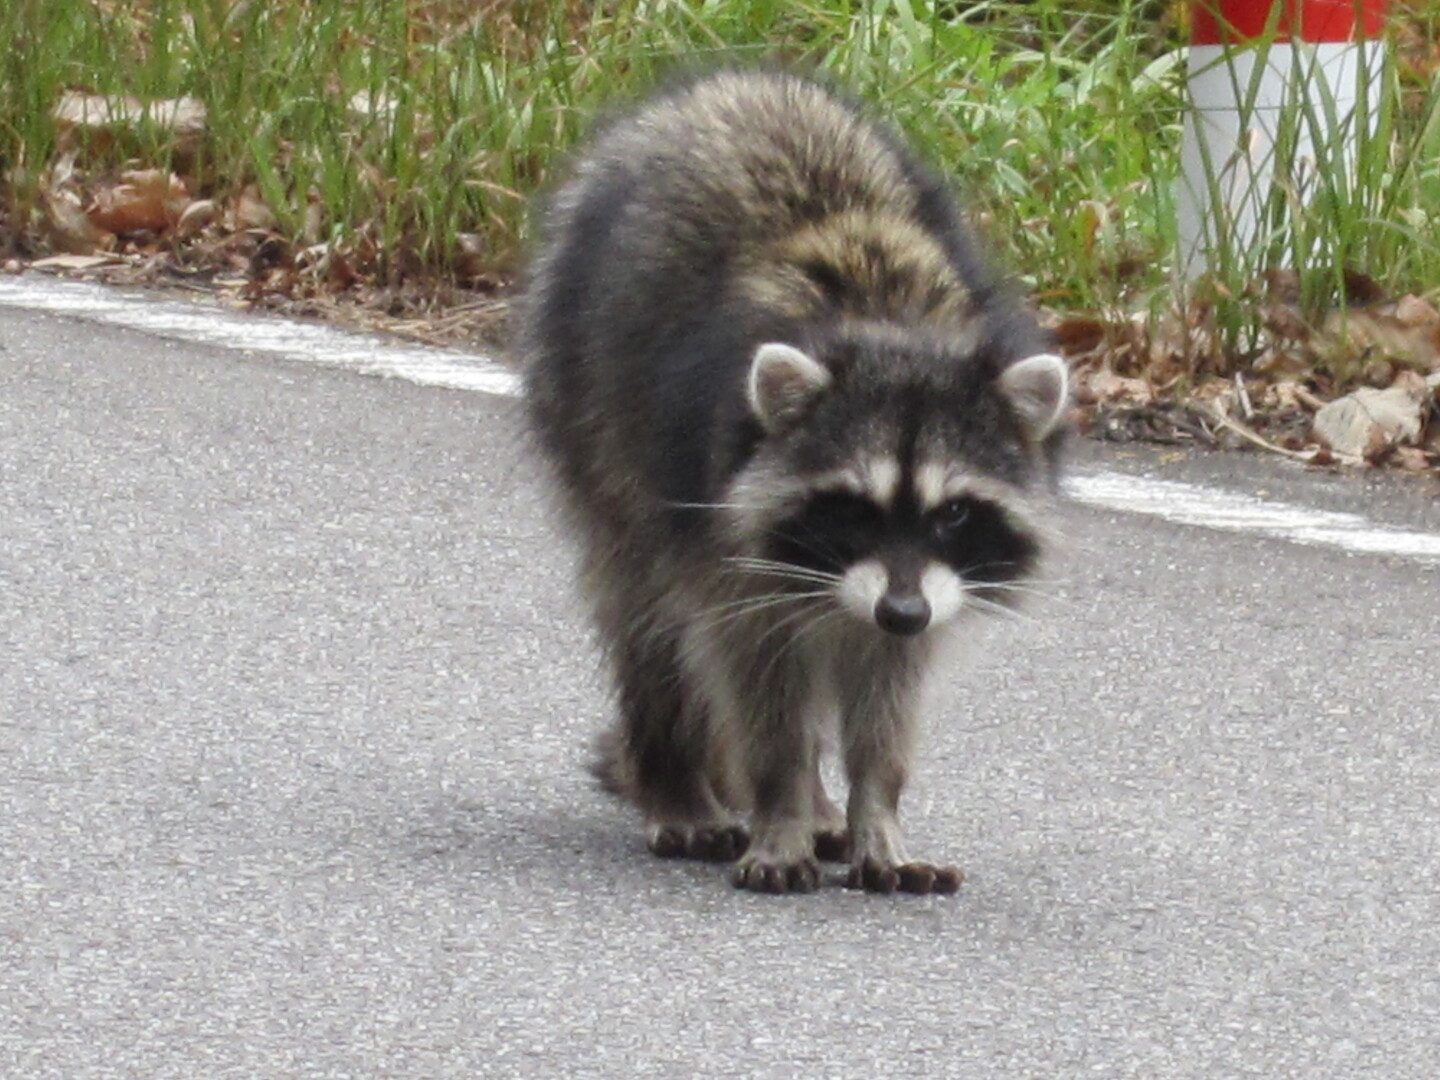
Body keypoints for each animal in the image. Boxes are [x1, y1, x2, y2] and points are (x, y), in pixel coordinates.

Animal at [524, 69, 1065, 898]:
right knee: (647, 611)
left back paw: (818, 806)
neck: (889, 324)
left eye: (952, 514)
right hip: (589, 401)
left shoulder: (926, 589)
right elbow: (757, 674)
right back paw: (679, 779)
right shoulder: (723, 526)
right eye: (854, 509)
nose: (900, 611)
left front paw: (875, 809)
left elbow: (888, 688)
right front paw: (780, 802)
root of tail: (734, 82)